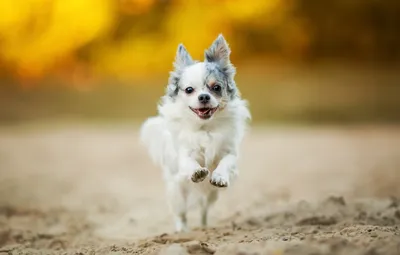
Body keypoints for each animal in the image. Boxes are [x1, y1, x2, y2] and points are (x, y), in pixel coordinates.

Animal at [140, 33, 250, 231]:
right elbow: (190, 162)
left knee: (203, 209)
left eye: (216, 88)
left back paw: (204, 226)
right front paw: (198, 172)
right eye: (189, 90)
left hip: (210, 196)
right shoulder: (184, 154)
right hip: (178, 193)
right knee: (181, 214)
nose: (204, 96)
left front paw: (220, 176)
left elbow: (225, 163)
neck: (205, 127)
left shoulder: (229, 152)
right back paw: (182, 230)